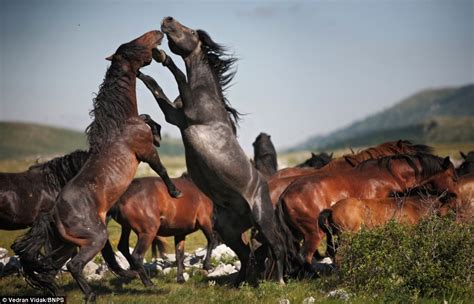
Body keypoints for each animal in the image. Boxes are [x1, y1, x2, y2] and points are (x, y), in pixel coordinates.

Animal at [12, 30, 181, 302]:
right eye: (133, 45)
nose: (158, 33)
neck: (121, 124)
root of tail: (53, 213)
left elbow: (148, 118)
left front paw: (157, 130)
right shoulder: (144, 151)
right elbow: (162, 168)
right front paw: (175, 191)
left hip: (67, 243)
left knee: (51, 266)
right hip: (95, 238)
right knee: (73, 265)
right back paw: (92, 294)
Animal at [278, 152, 460, 274]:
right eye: (453, 176)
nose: (456, 200)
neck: (389, 175)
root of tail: (283, 195)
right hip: (314, 234)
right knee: (305, 257)